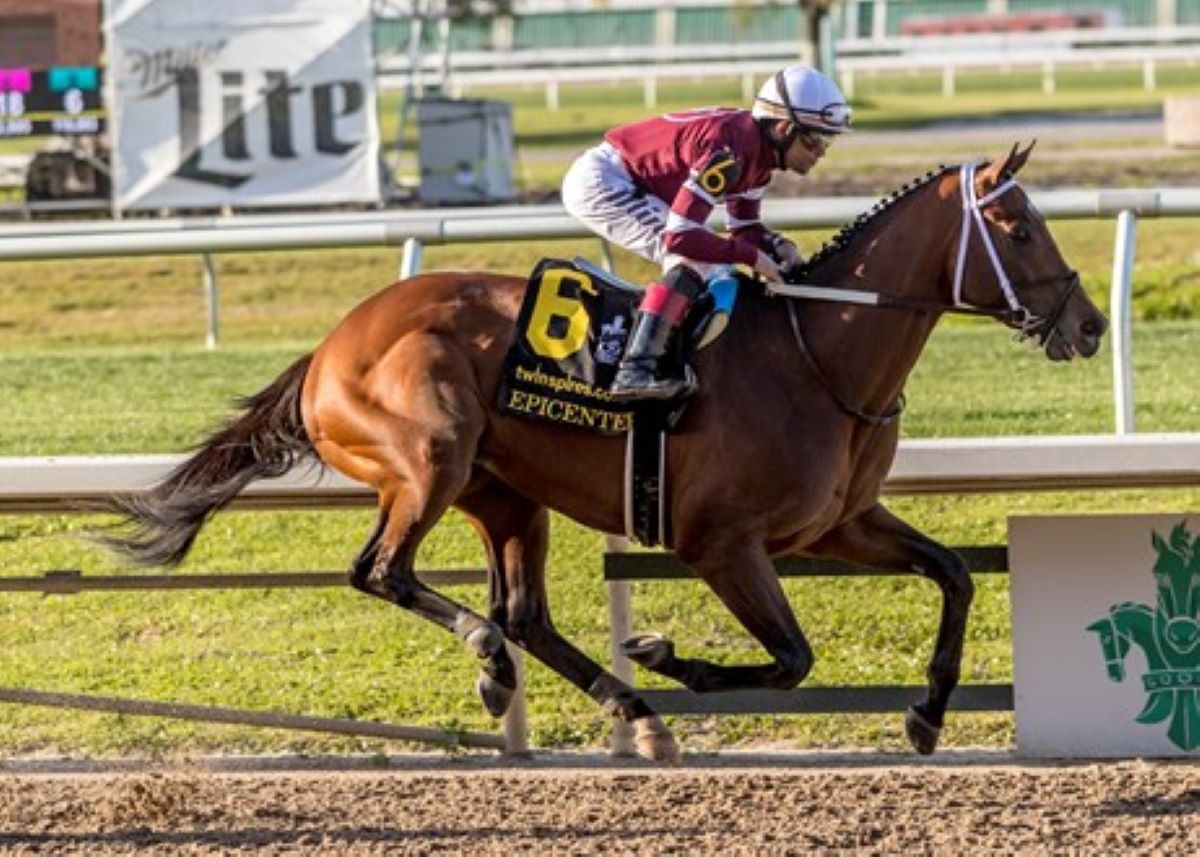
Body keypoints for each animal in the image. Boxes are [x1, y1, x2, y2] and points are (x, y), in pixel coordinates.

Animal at [100, 141, 1104, 763]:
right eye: (1019, 228)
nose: (1089, 324)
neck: (817, 351)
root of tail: (330, 346)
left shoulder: (837, 525)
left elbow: (954, 574)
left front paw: (927, 713)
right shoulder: (721, 543)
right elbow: (792, 657)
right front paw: (666, 653)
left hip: (506, 494)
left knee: (525, 612)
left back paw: (625, 710)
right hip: (431, 458)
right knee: (385, 570)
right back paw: (507, 661)